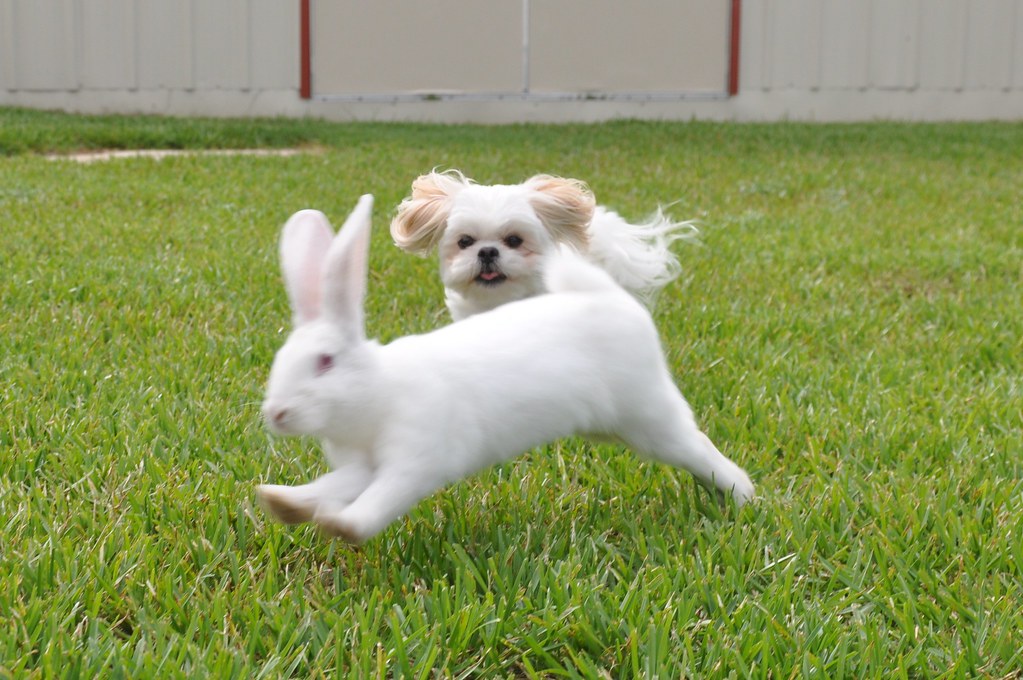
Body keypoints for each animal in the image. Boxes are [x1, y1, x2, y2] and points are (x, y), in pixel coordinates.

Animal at [256, 195, 754, 543]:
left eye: (325, 362)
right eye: (281, 360)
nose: (276, 414)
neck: (376, 391)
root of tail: (611, 300)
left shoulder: (415, 461)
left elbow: (381, 501)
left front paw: (343, 527)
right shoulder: (359, 468)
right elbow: (328, 486)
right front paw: (282, 503)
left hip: (649, 417)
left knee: (698, 447)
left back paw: (742, 495)